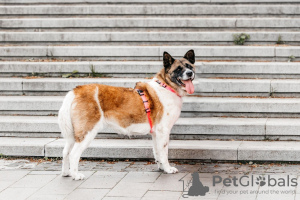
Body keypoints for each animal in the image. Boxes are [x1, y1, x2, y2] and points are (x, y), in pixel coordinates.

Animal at [57, 49, 196, 180]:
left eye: (189, 66)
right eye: (178, 69)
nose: (190, 73)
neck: (166, 85)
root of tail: (75, 91)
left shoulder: (156, 133)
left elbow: (157, 152)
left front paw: (161, 168)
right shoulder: (163, 131)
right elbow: (164, 152)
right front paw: (168, 169)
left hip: (73, 134)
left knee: (65, 152)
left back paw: (66, 173)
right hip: (87, 131)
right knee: (74, 154)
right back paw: (76, 175)